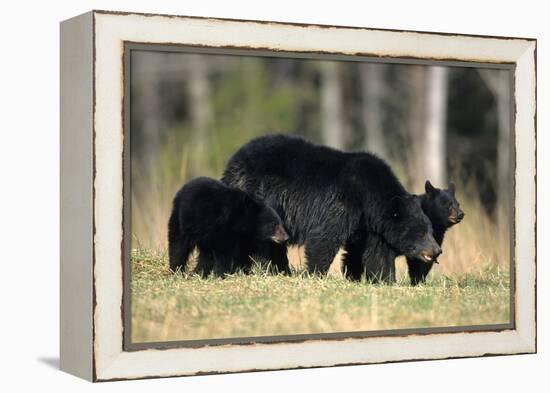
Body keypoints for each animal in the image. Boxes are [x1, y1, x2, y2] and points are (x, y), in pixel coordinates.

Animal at [222, 133, 442, 280]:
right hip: (258, 196)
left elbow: (376, 253)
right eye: (420, 232)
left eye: (430, 230)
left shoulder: (371, 226)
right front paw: (315, 274)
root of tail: (233, 161)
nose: (436, 250)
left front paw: (383, 279)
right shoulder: (342, 203)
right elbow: (324, 238)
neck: (370, 198)